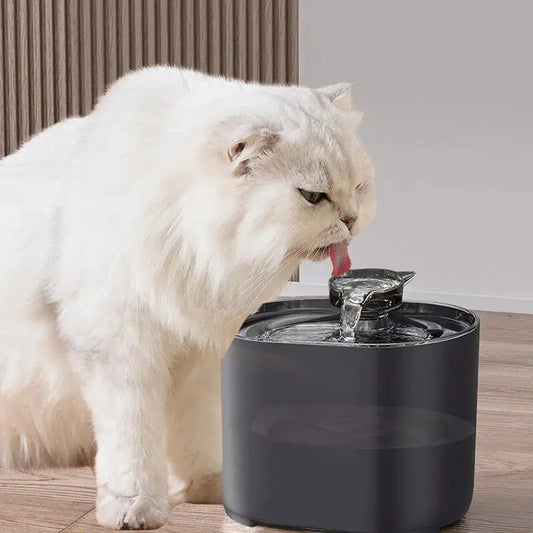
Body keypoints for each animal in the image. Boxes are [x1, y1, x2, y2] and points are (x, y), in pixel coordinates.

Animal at [0, 67, 374, 528]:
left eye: (358, 186)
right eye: (313, 196)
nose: (351, 220)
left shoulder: (199, 351)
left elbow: (194, 429)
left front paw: (207, 485)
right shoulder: (120, 350)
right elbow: (133, 439)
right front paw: (134, 507)